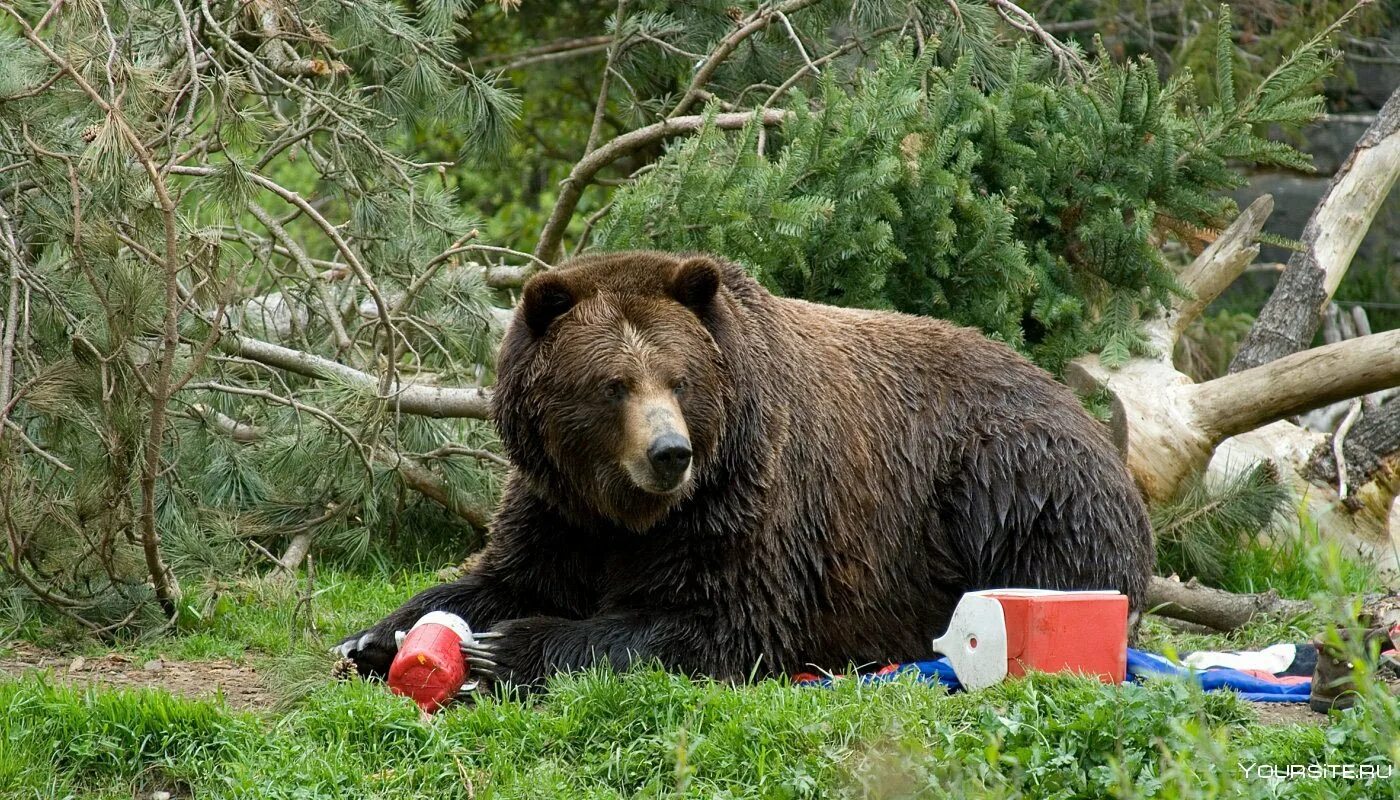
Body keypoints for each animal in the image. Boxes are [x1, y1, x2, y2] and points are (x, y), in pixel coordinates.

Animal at [333, 252, 1153, 689]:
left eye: (679, 378)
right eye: (613, 384)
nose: (669, 453)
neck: (631, 512)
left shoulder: (747, 501)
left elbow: (718, 620)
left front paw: (508, 647)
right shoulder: (557, 507)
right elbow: (502, 573)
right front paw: (374, 638)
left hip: (1010, 482)